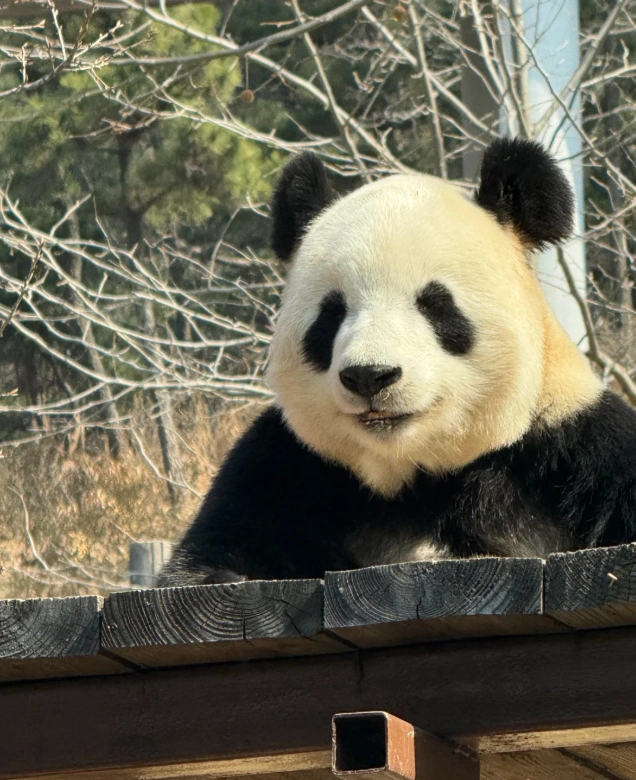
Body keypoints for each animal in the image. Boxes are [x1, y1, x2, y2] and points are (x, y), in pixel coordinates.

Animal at [157, 137, 636, 587]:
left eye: (435, 304)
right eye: (332, 314)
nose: (370, 376)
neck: (415, 476)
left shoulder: (569, 450)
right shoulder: (292, 464)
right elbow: (215, 548)